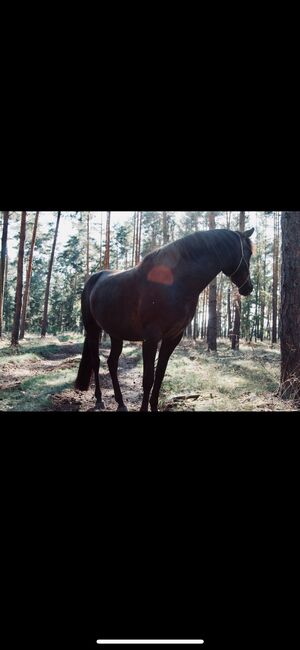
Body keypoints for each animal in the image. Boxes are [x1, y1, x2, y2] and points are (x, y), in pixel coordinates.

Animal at [74, 228, 253, 410]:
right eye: (248, 252)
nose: (248, 287)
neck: (175, 283)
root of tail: (92, 280)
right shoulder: (151, 338)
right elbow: (148, 378)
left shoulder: (172, 338)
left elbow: (159, 375)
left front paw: (154, 406)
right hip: (93, 329)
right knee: (96, 362)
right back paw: (99, 399)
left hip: (116, 333)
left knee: (112, 362)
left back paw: (121, 402)